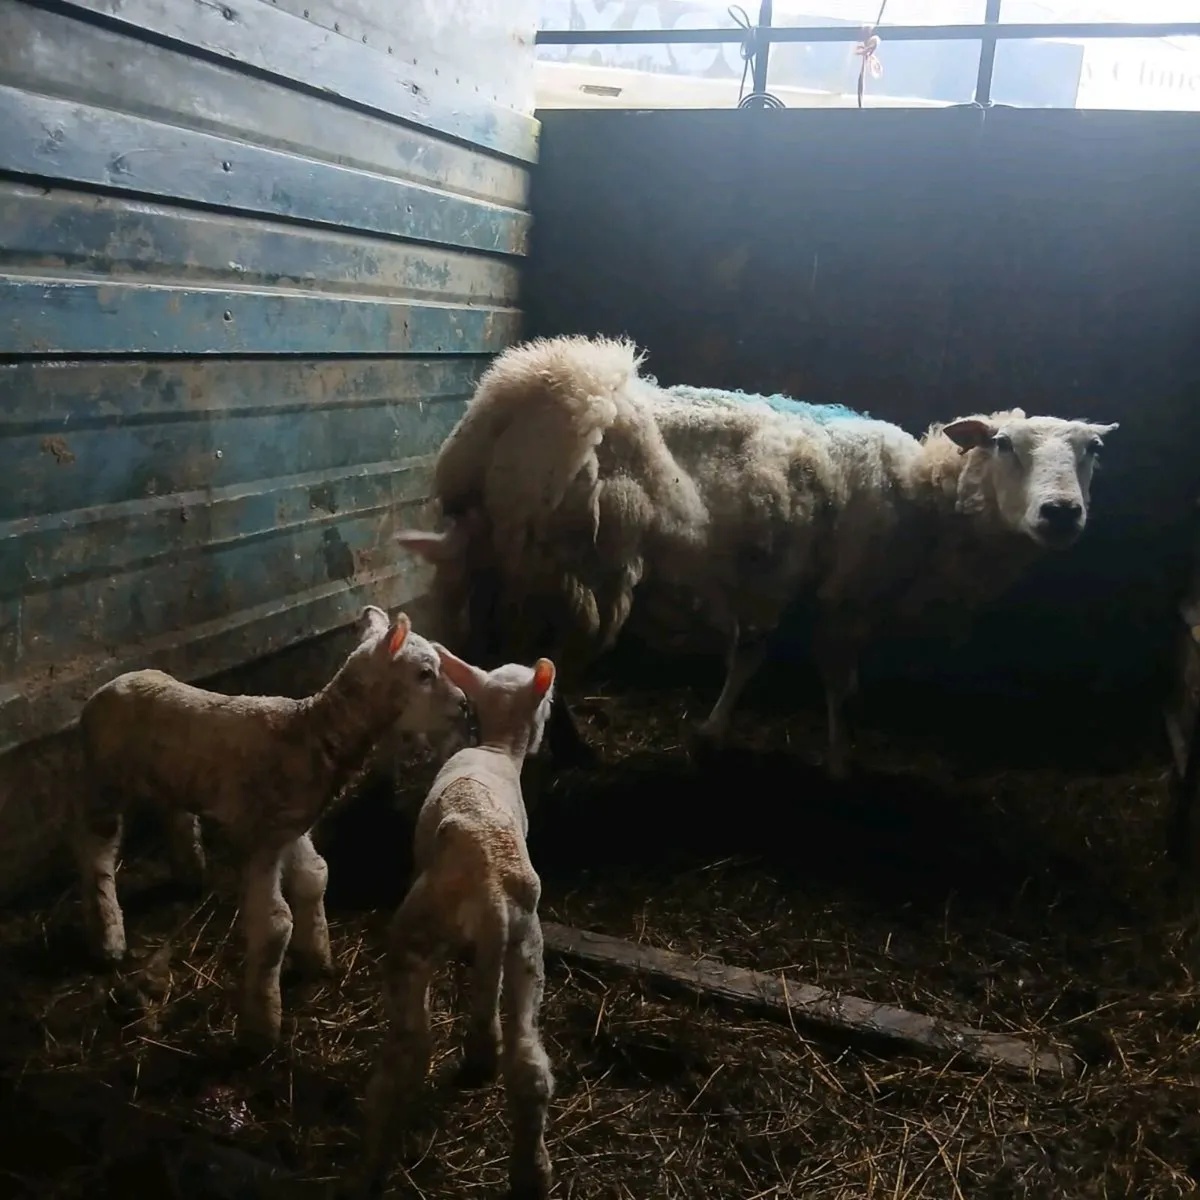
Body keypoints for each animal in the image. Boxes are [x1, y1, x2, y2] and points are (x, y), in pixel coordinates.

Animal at [72, 606, 472, 1049]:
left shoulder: (290, 827)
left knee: (173, 813)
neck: (308, 733)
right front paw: (263, 1025)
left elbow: (316, 877)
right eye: (424, 673)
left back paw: (191, 871)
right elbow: (275, 923)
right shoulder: (262, 835)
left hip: (169, 774)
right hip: (104, 777)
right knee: (96, 848)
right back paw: (108, 937)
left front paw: (318, 959)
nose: (464, 704)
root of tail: (107, 686)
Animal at [362, 648, 557, 1200]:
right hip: (526, 943)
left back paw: (372, 1167)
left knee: (405, 1056)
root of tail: (488, 886)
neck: (496, 749)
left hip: (416, 930)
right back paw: (533, 1173)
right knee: (528, 1065)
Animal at [395, 334, 1118, 779]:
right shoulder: (846, 595)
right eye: (1003, 444)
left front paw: (712, 735)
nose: (1061, 513)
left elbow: (750, 654)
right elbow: (837, 683)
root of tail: (515, 396)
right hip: (574, 567)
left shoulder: (775, 580)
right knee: (540, 659)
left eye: (1093, 451)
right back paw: (566, 749)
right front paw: (838, 762)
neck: (923, 496)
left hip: (493, 555)